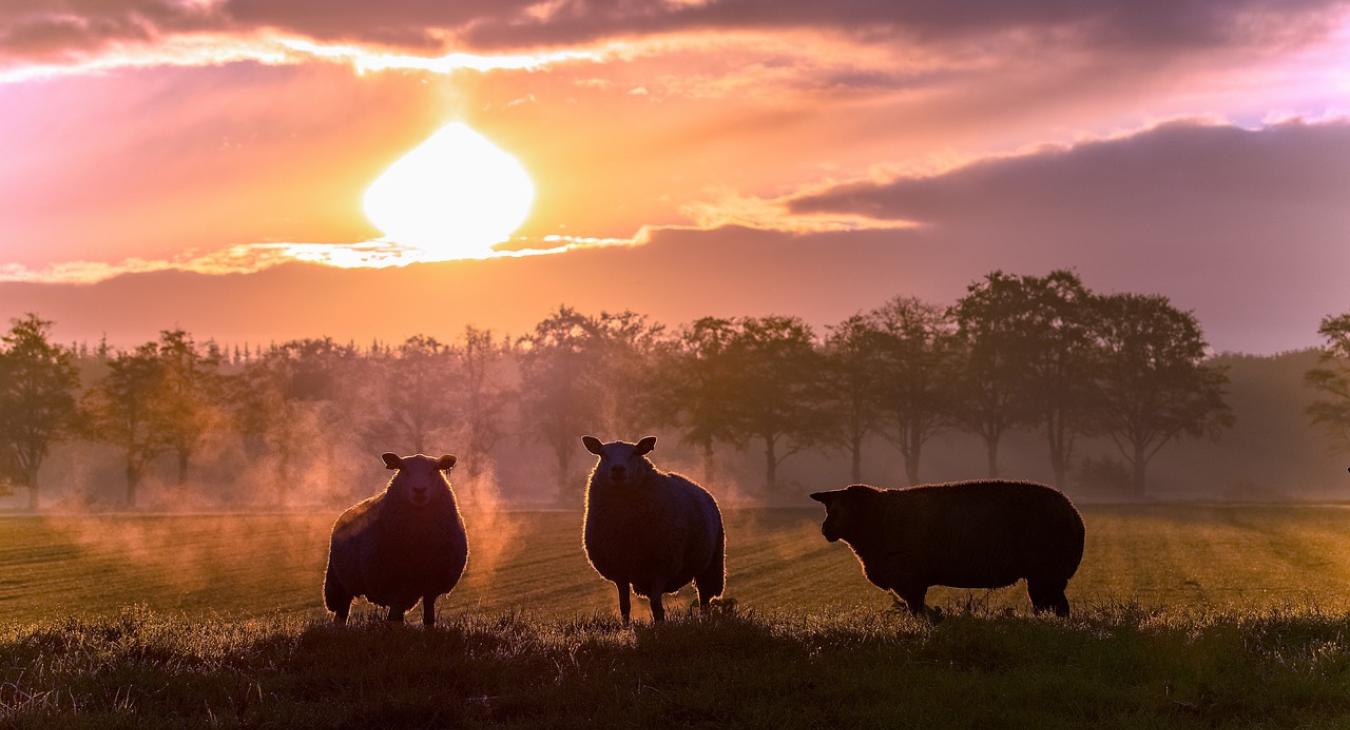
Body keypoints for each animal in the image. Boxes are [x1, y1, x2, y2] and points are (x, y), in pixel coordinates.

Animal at [321, 450, 469, 626]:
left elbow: (429, 619)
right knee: (341, 615)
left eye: (434, 470)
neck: (420, 542)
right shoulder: (395, 587)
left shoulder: (431, 586)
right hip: (340, 583)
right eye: (403, 469)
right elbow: (395, 620)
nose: (419, 490)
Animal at [580, 434, 729, 623]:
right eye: (603, 454)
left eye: (635, 453)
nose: (618, 469)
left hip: (711, 564)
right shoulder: (620, 570)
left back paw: (705, 620)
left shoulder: (660, 567)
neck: (626, 529)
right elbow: (624, 607)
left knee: (704, 599)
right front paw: (625, 627)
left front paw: (660, 626)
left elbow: (656, 607)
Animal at [810, 480, 1085, 618]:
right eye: (829, 508)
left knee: (1055, 607)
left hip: (1047, 573)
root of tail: (1073, 512)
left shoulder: (909, 579)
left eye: (843, 509)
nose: (825, 530)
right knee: (1053, 606)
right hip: (1046, 576)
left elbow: (916, 609)